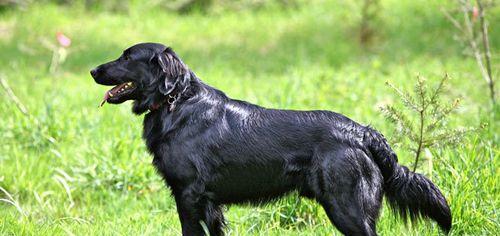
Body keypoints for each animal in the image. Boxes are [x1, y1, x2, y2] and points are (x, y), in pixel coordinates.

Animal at [91, 42, 454, 236]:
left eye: (127, 57)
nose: (93, 71)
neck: (175, 101)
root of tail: (363, 132)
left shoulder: (189, 194)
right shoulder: (209, 203)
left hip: (348, 207)